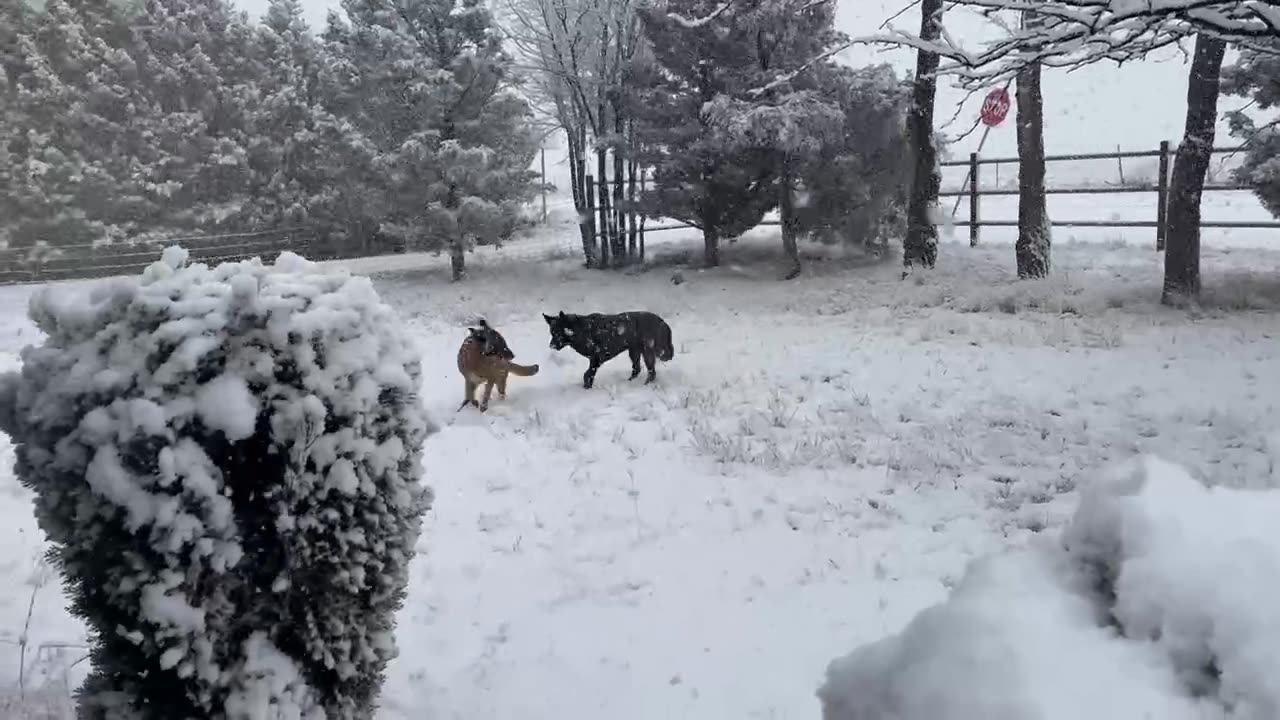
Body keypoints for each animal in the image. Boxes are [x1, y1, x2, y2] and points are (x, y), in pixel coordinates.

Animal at [545, 308, 675, 386]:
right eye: (552, 333)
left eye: (558, 333)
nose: (551, 345)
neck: (581, 330)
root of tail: (663, 322)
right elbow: (587, 375)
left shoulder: (596, 359)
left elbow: (587, 375)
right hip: (634, 351)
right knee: (637, 369)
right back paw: (629, 383)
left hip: (647, 351)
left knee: (651, 372)